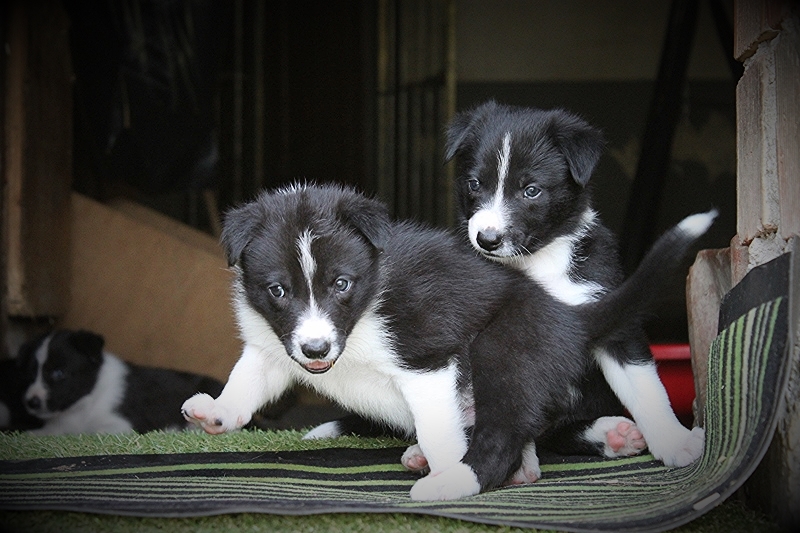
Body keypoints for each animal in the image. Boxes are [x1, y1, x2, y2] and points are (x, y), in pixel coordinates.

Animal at [181, 183, 713, 500]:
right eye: (277, 291)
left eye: (341, 284)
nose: (316, 351)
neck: (364, 313)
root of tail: (565, 317)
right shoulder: (274, 344)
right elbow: (249, 377)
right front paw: (219, 413)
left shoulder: (429, 360)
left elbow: (440, 431)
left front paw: (443, 469)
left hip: (503, 349)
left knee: (503, 435)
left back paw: (458, 478)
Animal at [444, 99, 707, 469]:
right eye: (474, 184)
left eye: (531, 190)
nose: (487, 239)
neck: (538, 262)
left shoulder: (613, 312)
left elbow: (645, 387)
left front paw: (675, 442)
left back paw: (614, 436)